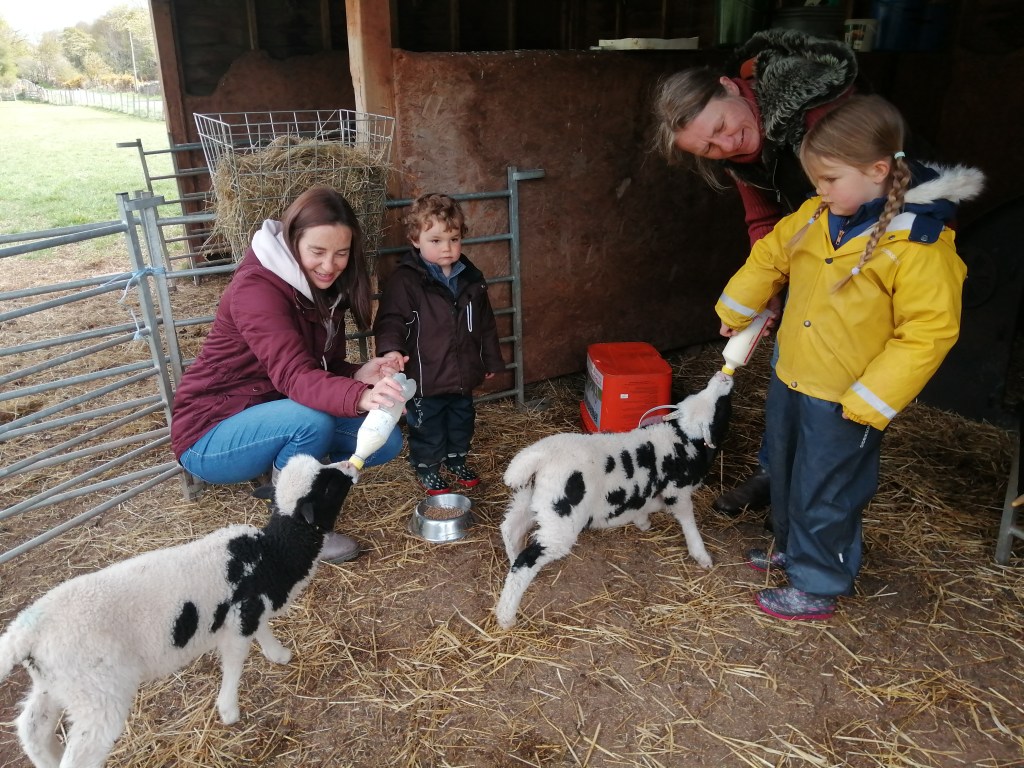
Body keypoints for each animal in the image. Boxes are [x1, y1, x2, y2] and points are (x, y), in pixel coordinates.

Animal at [0, 453, 356, 768]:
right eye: (328, 486)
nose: (351, 467)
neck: (271, 553)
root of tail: (25, 633)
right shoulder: (239, 621)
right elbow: (235, 662)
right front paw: (228, 711)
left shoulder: (250, 610)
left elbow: (263, 630)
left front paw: (278, 654)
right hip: (98, 694)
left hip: (58, 682)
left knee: (32, 728)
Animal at [495, 371, 734, 629]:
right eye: (720, 406)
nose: (722, 376)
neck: (682, 437)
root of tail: (537, 458)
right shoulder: (677, 492)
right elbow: (687, 520)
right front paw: (701, 555)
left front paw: (642, 521)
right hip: (560, 521)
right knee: (526, 561)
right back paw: (506, 616)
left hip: (533, 500)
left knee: (510, 528)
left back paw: (511, 559)